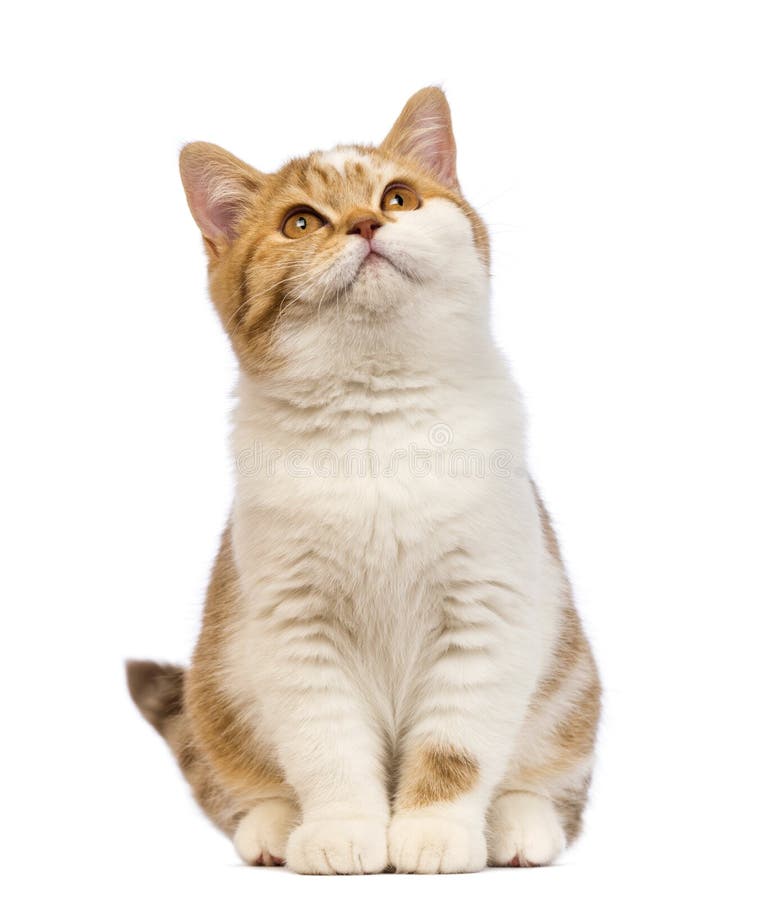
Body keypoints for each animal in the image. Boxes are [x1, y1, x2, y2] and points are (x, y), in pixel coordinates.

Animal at [126, 84, 600, 872]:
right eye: (300, 221)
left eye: (399, 197)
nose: (366, 223)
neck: (376, 411)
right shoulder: (294, 625)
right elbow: (328, 748)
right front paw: (342, 830)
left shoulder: (487, 608)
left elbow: (456, 747)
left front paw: (435, 832)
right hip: (219, 684)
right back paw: (273, 826)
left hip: (571, 682)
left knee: (548, 778)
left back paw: (519, 824)